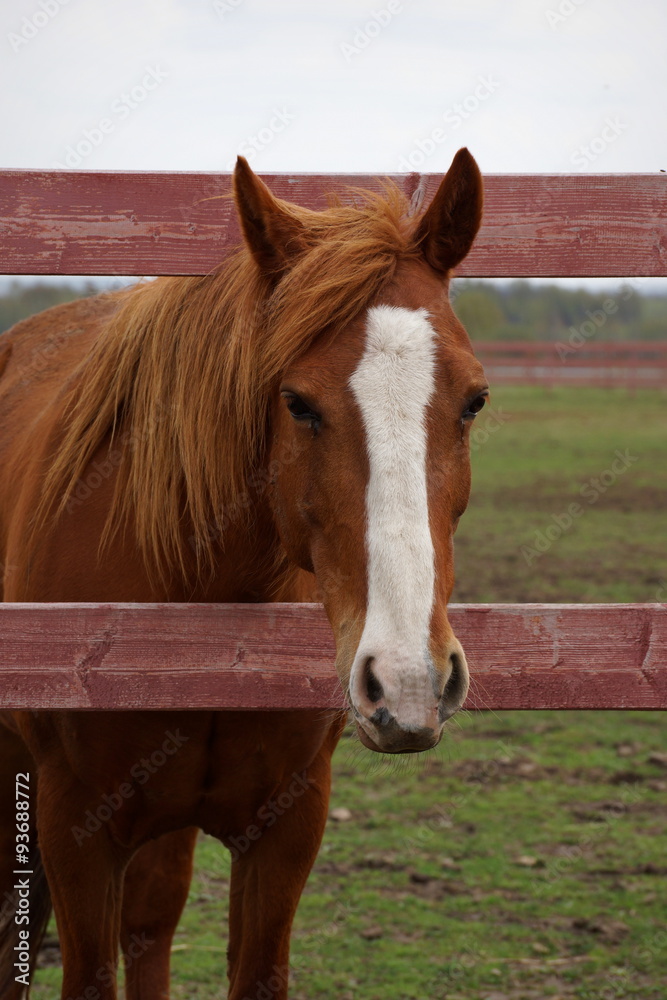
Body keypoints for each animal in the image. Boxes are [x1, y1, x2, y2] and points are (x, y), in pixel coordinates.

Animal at [0, 147, 487, 1000]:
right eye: (297, 402)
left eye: (473, 401)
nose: (408, 681)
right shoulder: (73, 826)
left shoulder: (288, 826)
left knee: (151, 924)